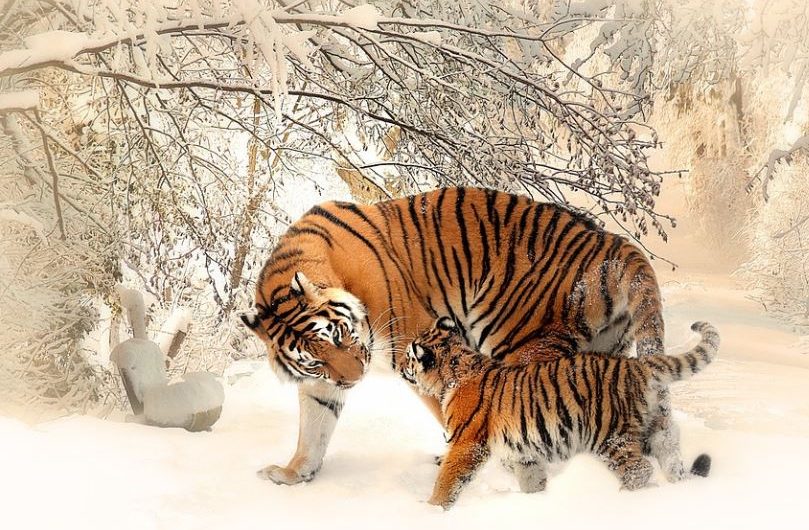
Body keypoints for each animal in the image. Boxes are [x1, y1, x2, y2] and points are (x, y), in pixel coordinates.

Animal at [241, 187, 674, 486]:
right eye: (315, 360)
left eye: (339, 335)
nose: (354, 379)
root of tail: (613, 242)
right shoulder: (321, 383)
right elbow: (313, 428)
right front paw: (293, 474)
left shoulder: (416, 345)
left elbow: (452, 410)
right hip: (606, 352)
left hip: (520, 343)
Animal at [401, 317, 719, 510]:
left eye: (408, 357)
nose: (402, 368)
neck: (455, 370)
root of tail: (637, 365)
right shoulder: (524, 452)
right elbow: (532, 479)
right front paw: (537, 501)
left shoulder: (466, 444)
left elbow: (448, 479)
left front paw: (432, 510)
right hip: (656, 429)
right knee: (671, 457)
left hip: (610, 436)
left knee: (639, 470)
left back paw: (622, 499)